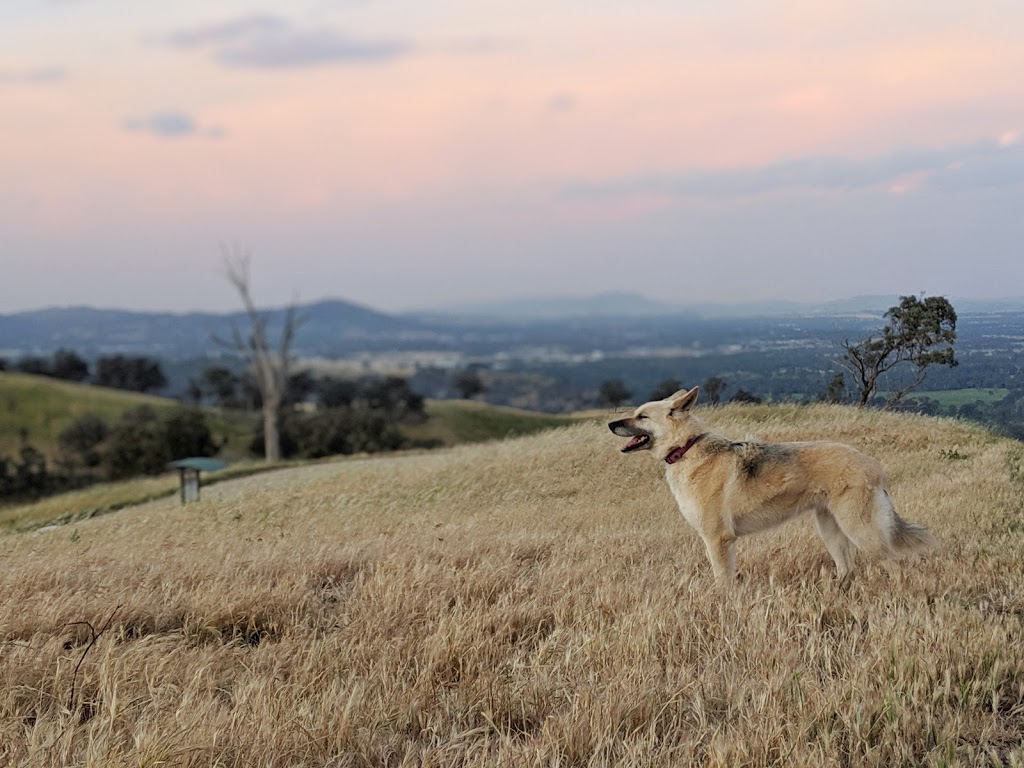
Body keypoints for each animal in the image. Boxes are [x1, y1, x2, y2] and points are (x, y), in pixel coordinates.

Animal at [606, 387, 937, 585]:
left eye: (641, 416)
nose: (610, 424)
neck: (686, 448)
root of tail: (872, 463)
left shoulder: (718, 540)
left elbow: (722, 582)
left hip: (861, 531)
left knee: (895, 566)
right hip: (831, 531)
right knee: (847, 569)